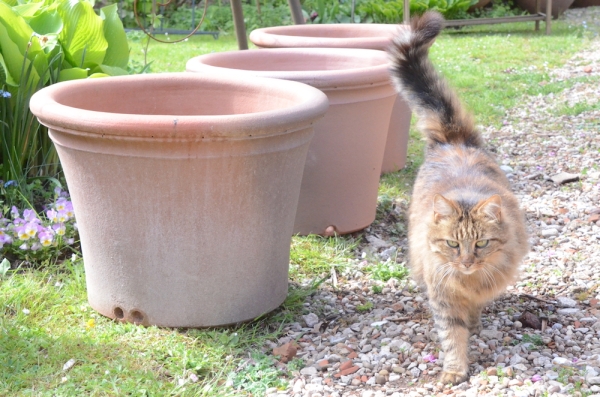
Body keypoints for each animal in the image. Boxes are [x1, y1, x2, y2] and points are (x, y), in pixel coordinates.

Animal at [390, 11, 524, 384]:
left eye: (480, 244)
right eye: (452, 244)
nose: (465, 262)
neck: (469, 281)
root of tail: (454, 140)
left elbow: (471, 315)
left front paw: (473, 326)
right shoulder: (443, 295)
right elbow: (452, 335)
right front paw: (454, 370)